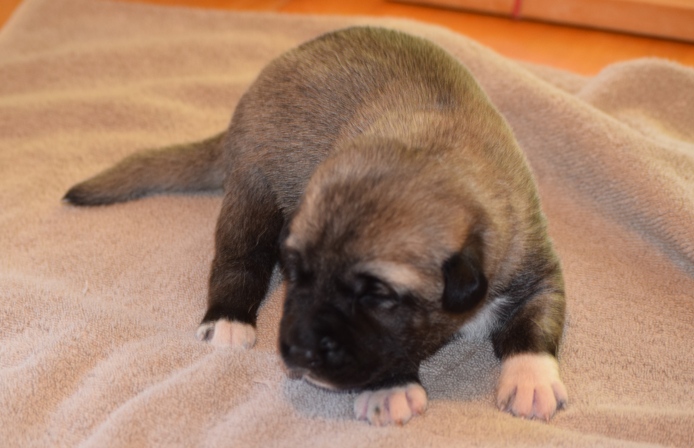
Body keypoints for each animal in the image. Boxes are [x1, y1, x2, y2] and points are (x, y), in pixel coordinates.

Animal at [64, 26, 568, 426]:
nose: (298, 356)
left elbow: (535, 320)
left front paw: (531, 377)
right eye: (294, 273)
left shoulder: (537, 267)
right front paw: (390, 386)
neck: (436, 151)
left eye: (378, 295)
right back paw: (228, 318)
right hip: (252, 196)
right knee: (237, 260)